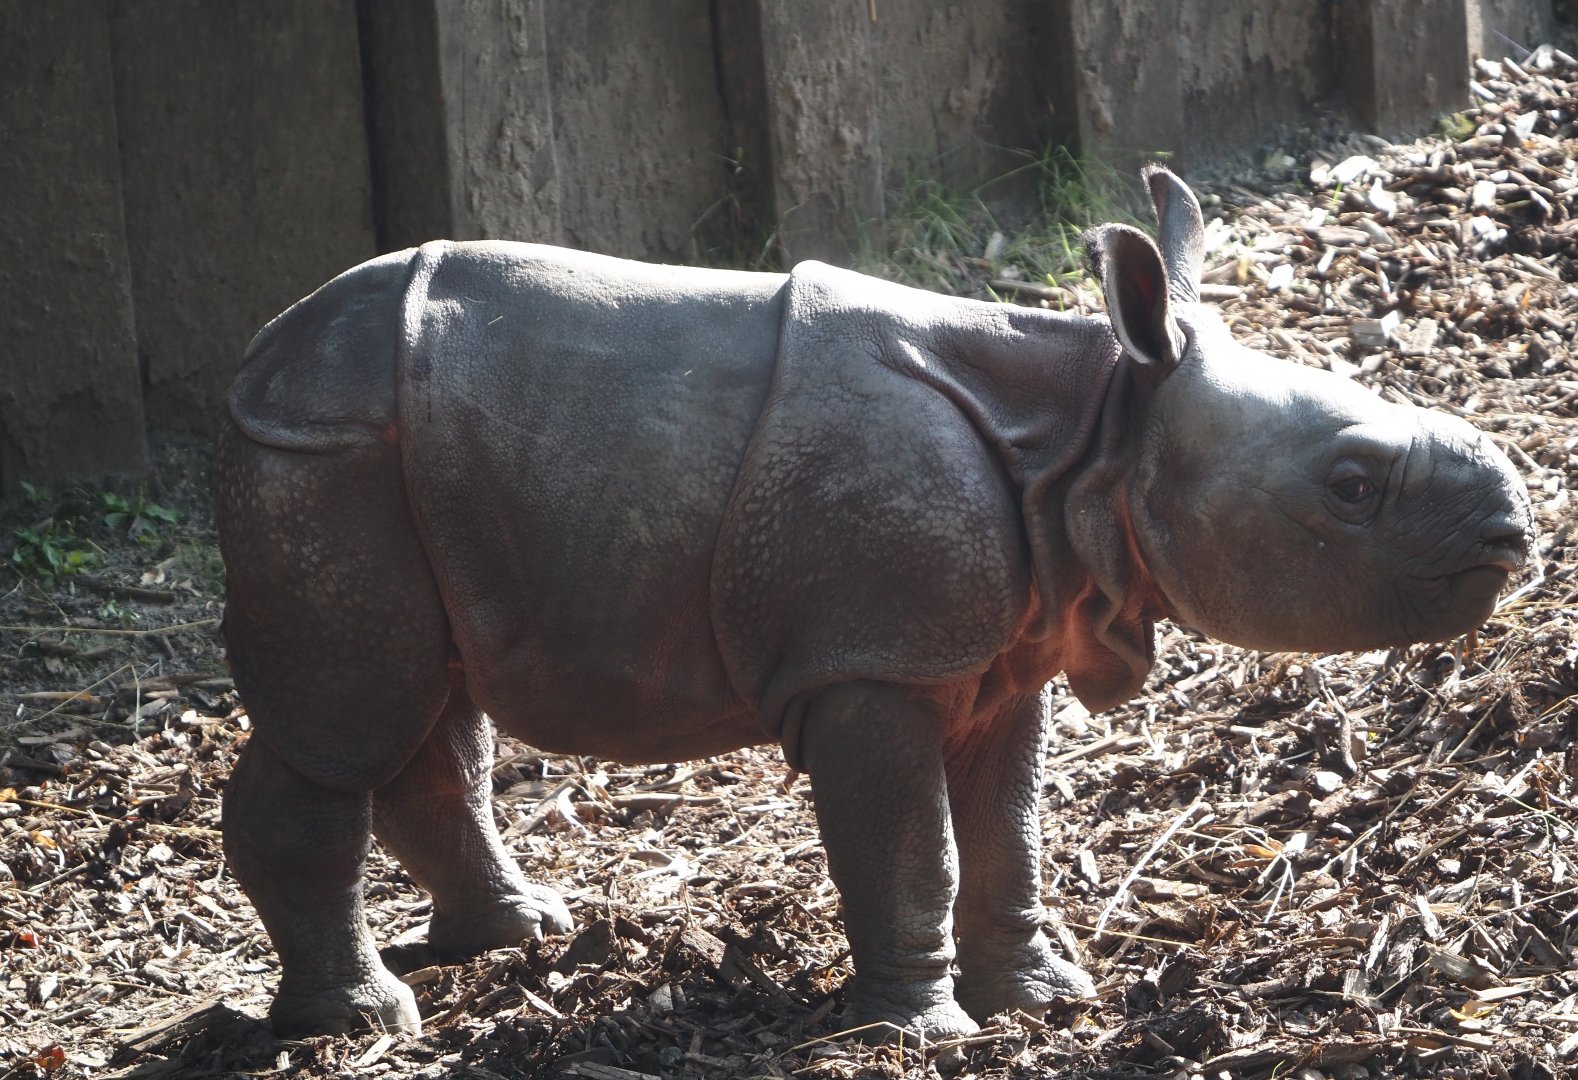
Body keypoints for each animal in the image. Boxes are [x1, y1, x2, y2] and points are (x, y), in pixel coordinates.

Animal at [216, 167, 1532, 1039]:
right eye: (1352, 485)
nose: (1516, 528)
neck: (1094, 432)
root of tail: (258, 359)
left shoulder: (1002, 644)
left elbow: (1009, 831)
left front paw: (1040, 999)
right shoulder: (871, 660)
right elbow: (911, 845)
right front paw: (921, 1033)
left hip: (399, 459)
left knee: (430, 714)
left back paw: (519, 936)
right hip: (326, 451)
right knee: (349, 724)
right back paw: (364, 1023)